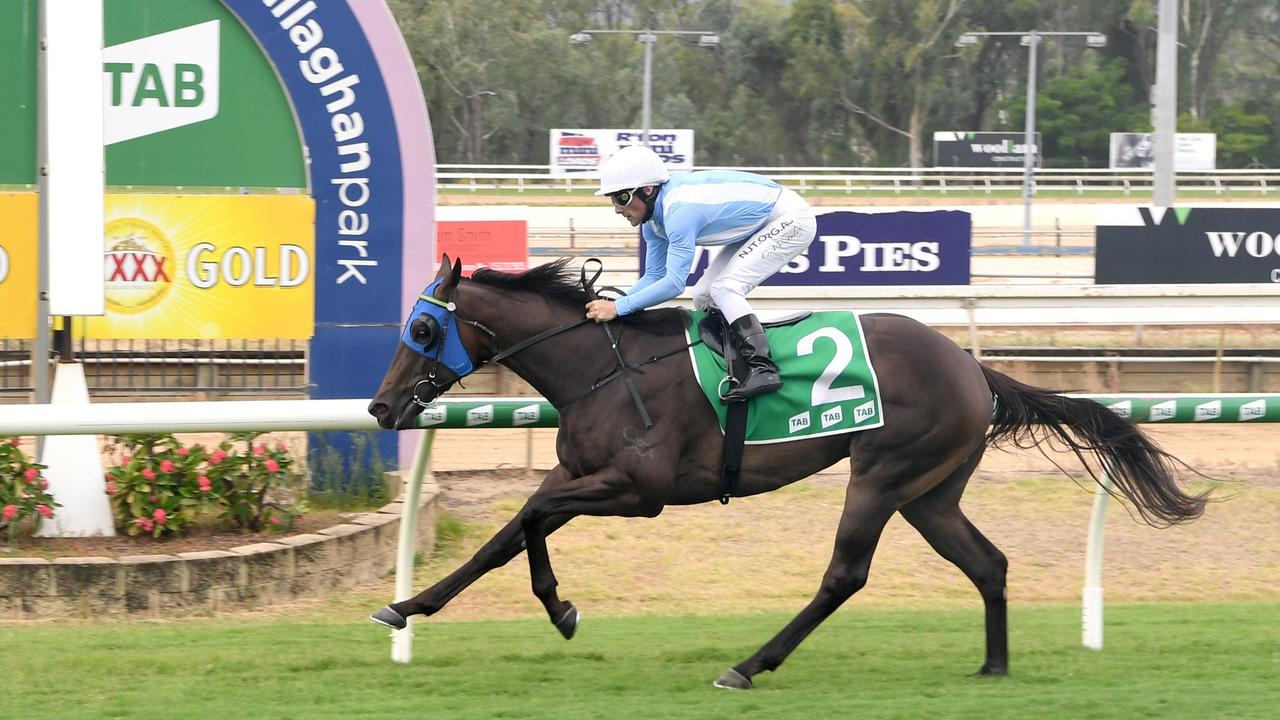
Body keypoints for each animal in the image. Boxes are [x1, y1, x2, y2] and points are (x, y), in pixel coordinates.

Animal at [366, 254, 1203, 686]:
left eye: (422, 328)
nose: (379, 407)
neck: (602, 368)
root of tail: (975, 368)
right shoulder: (580, 475)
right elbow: (507, 533)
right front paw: (408, 607)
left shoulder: (640, 491)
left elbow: (532, 520)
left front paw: (558, 608)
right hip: (930, 493)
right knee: (987, 562)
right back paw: (993, 668)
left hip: (881, 475)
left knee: (845, 576)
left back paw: (750, 663)